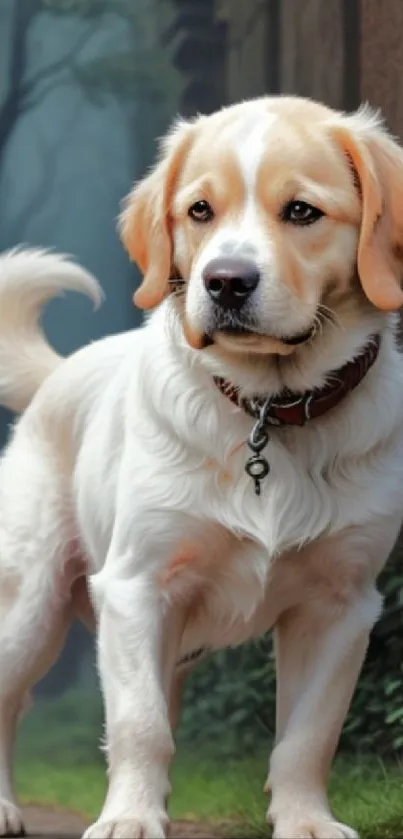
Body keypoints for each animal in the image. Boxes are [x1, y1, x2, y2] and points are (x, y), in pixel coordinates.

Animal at [0, 95, 403, 836]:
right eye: (199, 211)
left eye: (301, 211)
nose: (225, 282)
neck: (267, 409)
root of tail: (60, 373)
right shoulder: (136, 587)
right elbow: (140, 723)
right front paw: (129, 819)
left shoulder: (342, 603)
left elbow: (309, 733)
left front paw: (304, 820)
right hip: (29, 606)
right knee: (11, 698)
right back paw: (8, 803)